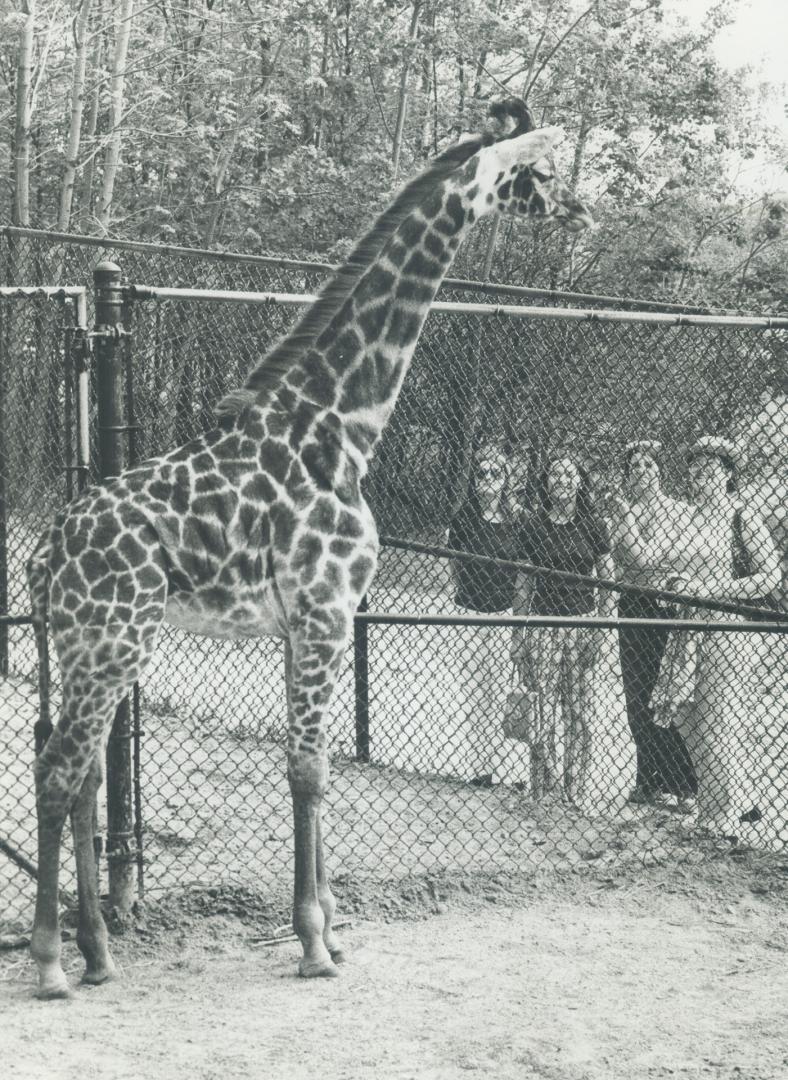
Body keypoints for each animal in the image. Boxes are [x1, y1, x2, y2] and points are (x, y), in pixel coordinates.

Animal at [24, 105, 591, 997]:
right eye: (538, 171)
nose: (580, 211)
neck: (341, 427)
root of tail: (48, 549)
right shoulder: (325, 613)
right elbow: (309, 772)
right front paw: (315, 943)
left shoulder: (311, 622)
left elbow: (315, 765)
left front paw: (332, 932)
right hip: (110, 640)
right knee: (56, 774)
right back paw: (52, 963)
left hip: (98, 646)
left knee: (80, 780)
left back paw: (102, 956)